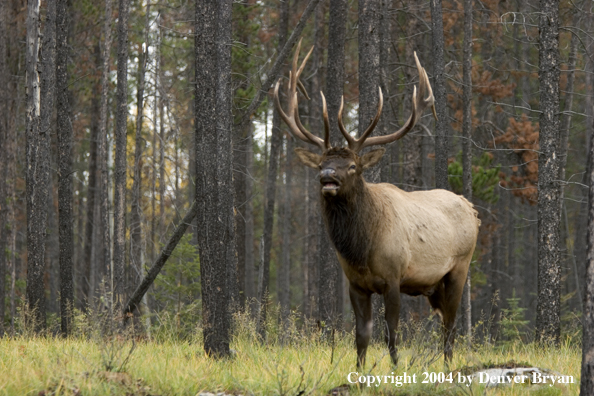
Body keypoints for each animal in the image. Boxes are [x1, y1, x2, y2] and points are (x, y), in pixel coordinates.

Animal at [272, 41, 480, 368]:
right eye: (321, 163)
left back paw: (448, 366)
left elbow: (391, 333)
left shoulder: (394, 277)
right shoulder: (356, 284)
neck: (361, 249)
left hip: (460, 266)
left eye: (353, 166)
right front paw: (358, 371)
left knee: (451, 325)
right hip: (435, 285)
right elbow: (362, 336)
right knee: (445, 322)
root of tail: (472, 209)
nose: (327, 177)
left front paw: (395, 369)